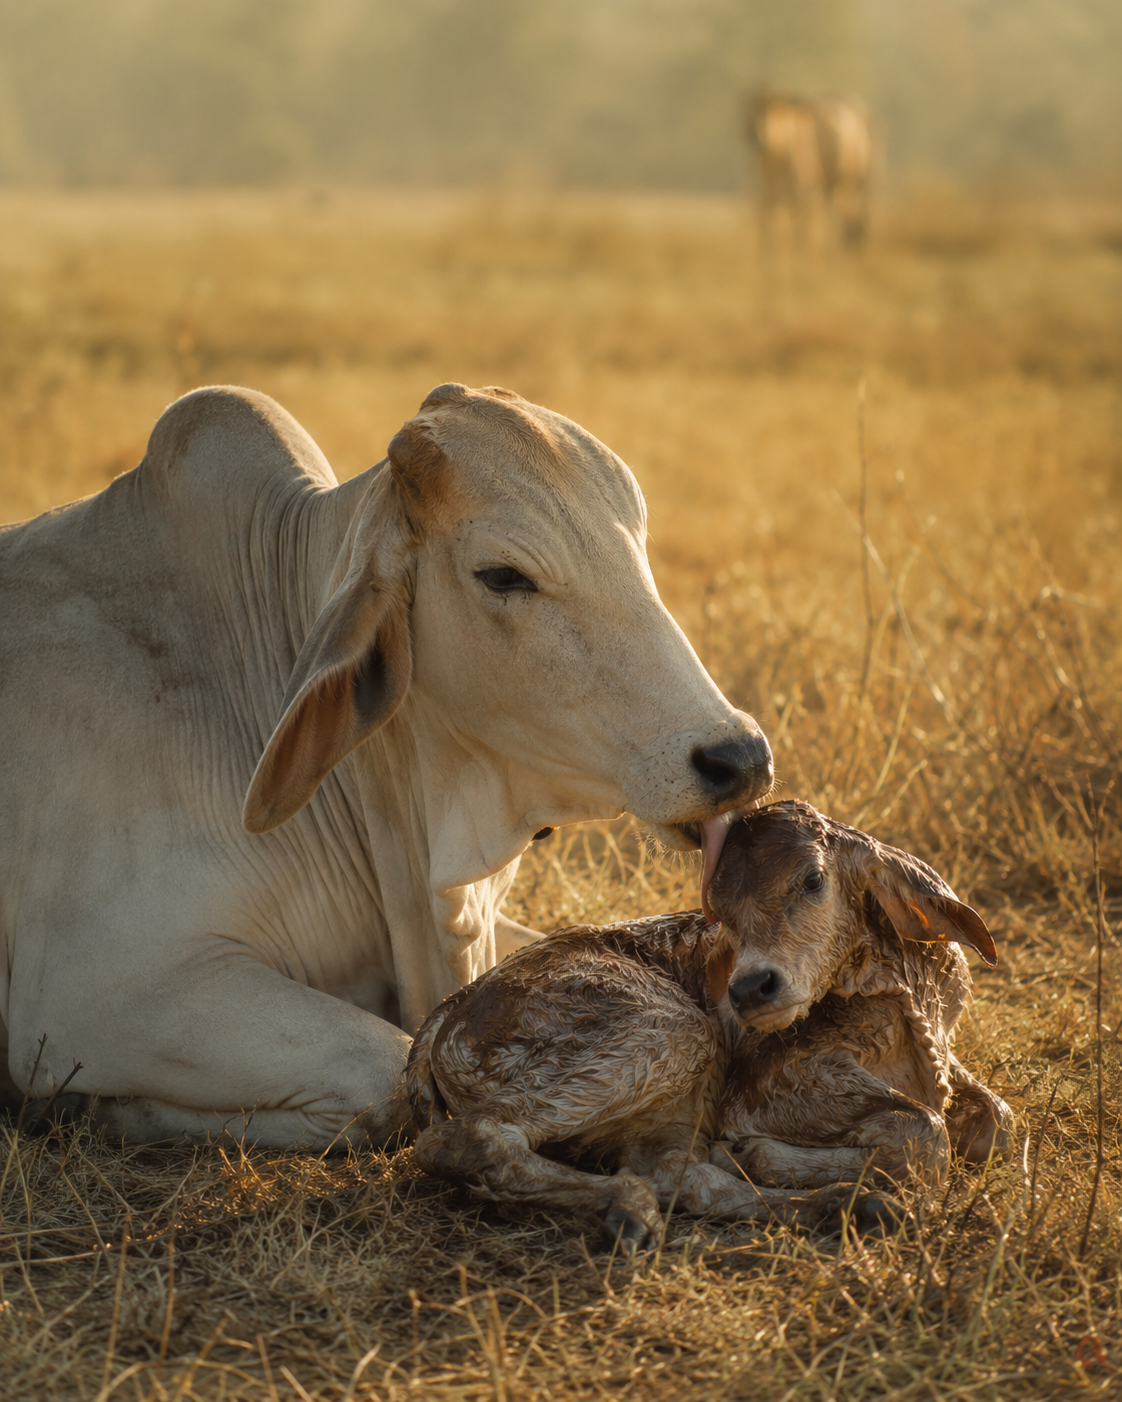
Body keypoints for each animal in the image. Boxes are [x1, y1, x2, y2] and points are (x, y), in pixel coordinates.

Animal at [0, 382, 772, 1149]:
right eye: (503, 576)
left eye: (638, 545)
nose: (739, 758)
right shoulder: (93, 991)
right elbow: (384, 1072)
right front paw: (103, 1108)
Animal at [407, 802, 1011, 1251]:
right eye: (720, 911)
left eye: (813, 880)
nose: (747, 989)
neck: (905, 995)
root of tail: (450, 1010)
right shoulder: (763, 1085)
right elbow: (925, 1132)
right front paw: (763, 1153)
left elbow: (996, 1124)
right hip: (670, 1029)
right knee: (464, 1139)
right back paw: (629, 1209)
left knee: (678, 1173)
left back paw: (850, 1205)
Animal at [747, 89, 874, 247]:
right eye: (752, 109)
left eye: (774, 110)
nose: (758, 137)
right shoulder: (770, 191)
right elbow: (772, 221)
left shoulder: (803, 190)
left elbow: (800, 224)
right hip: (836, 185)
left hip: (849, 181)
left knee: (847, 212)